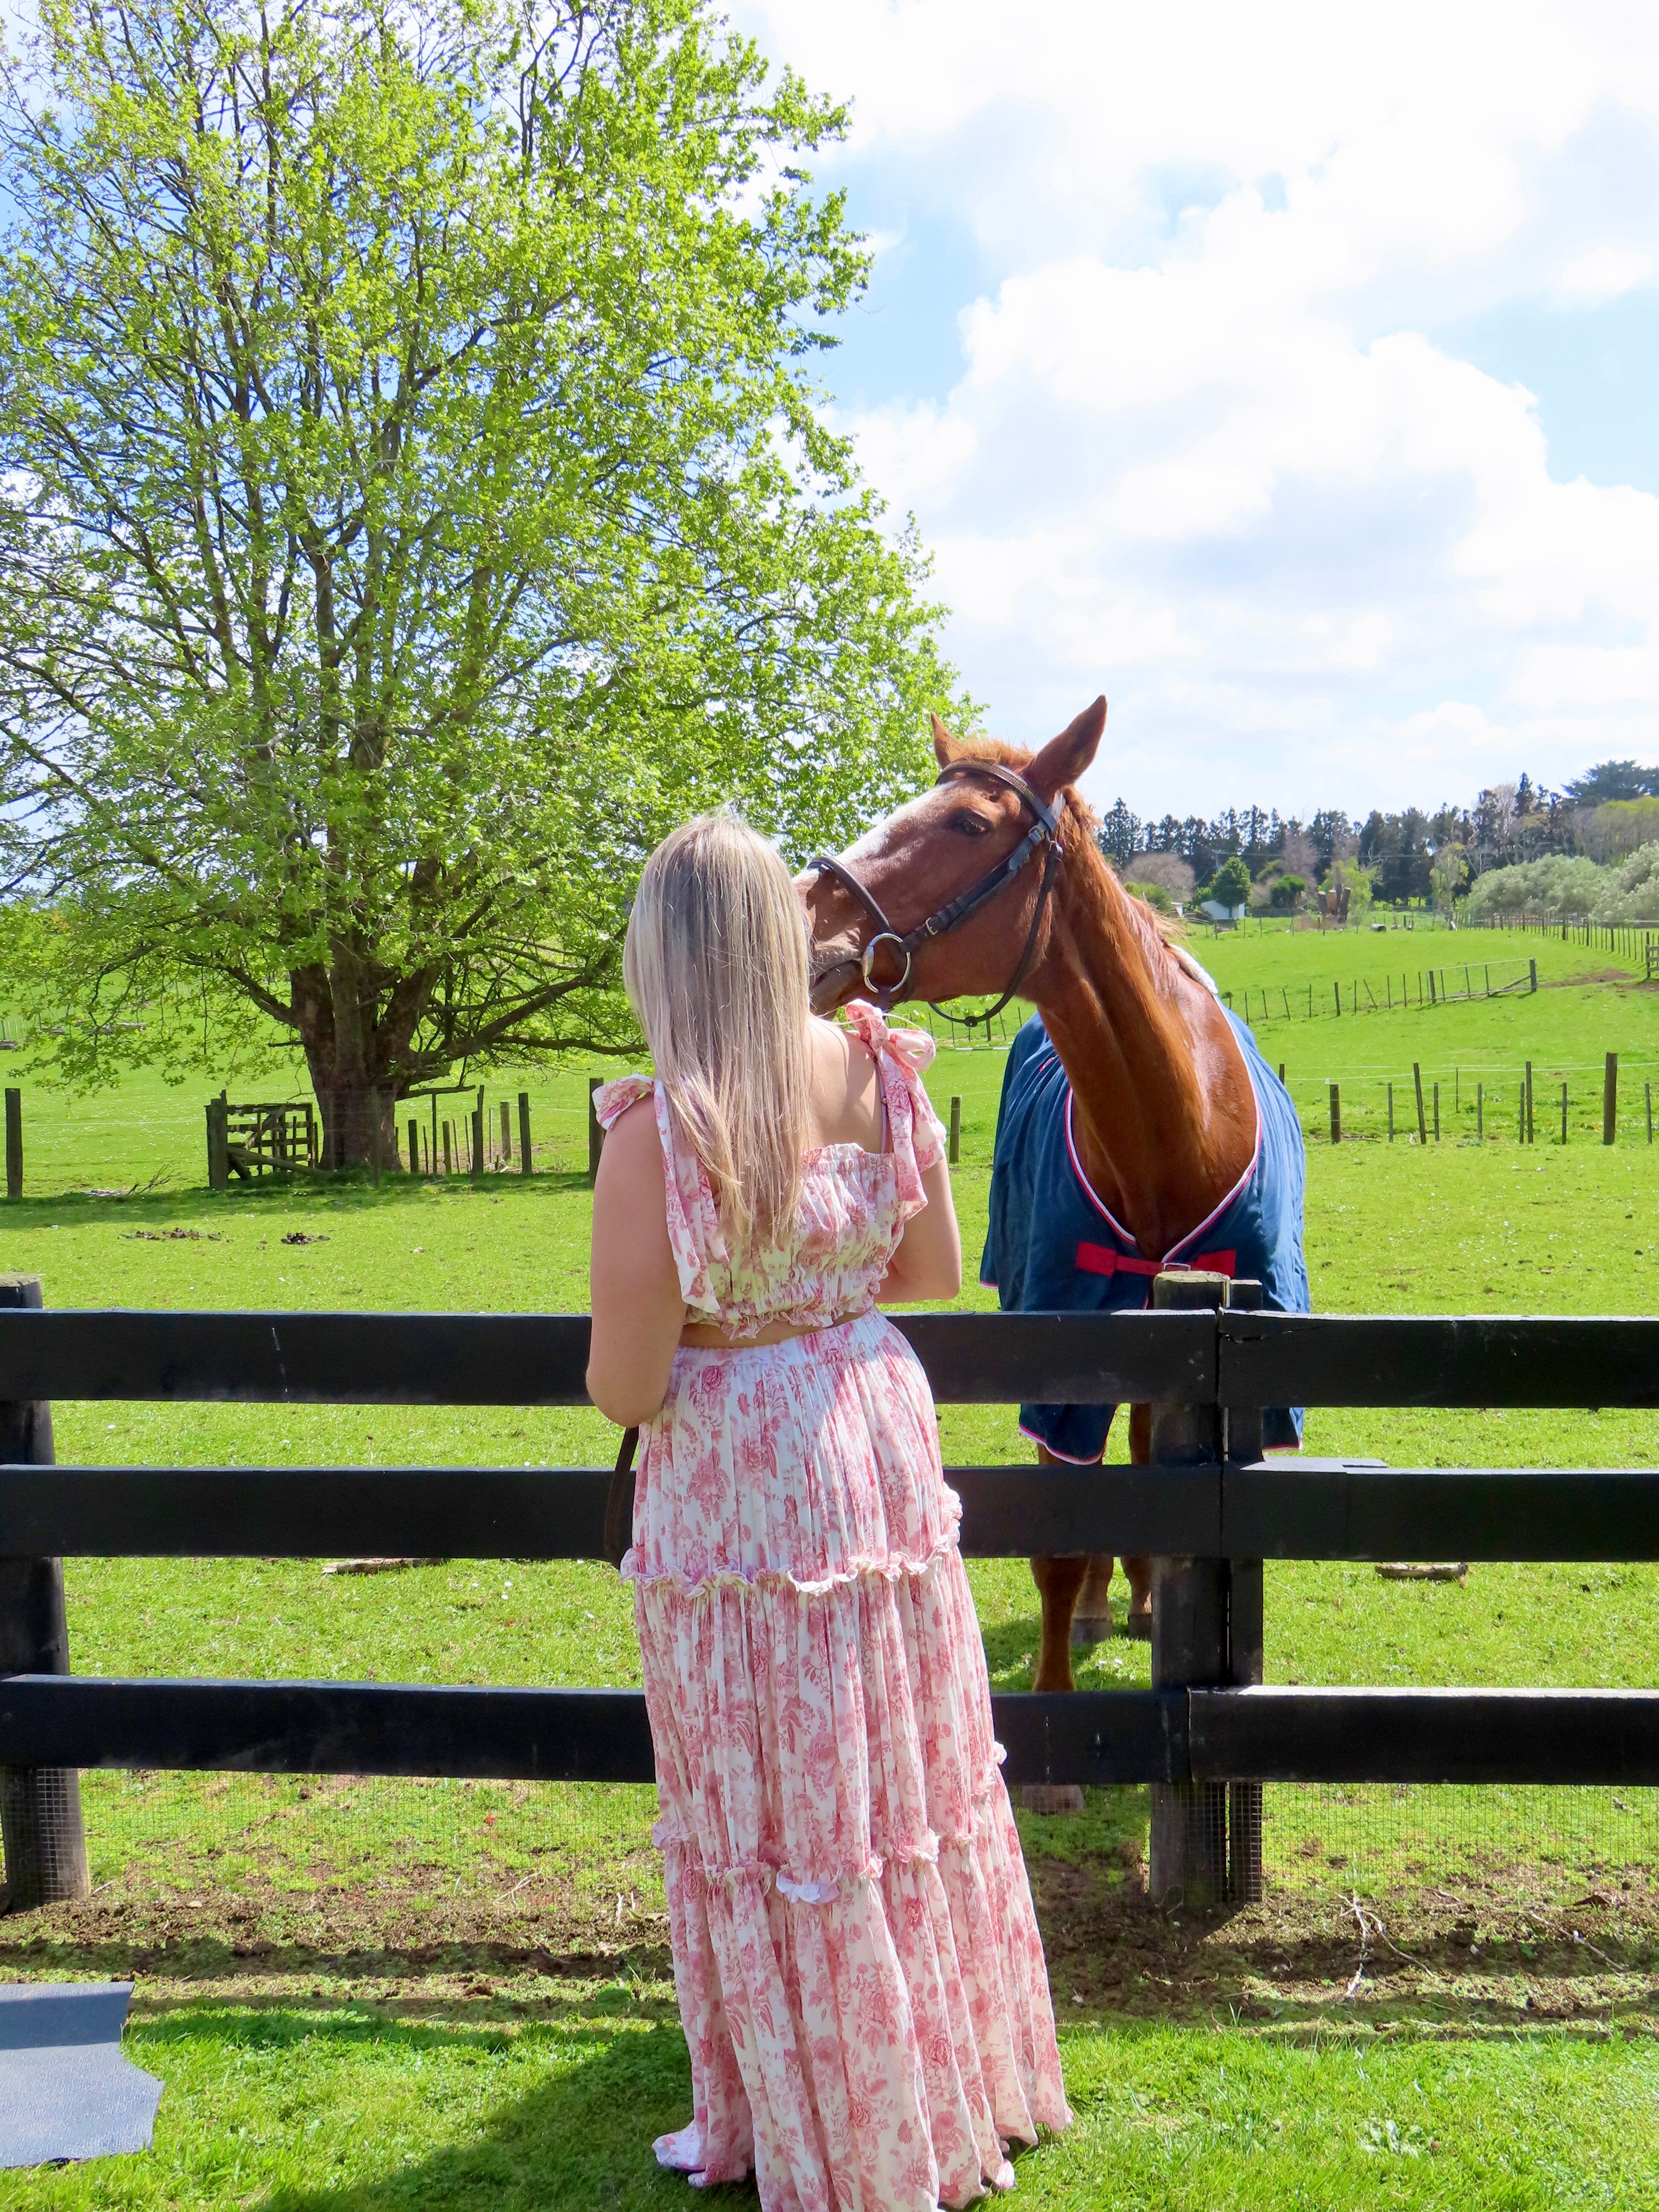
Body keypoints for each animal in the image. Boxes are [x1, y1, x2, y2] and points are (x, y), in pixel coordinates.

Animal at [805, 707, 1256, 1778]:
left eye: (969, 823)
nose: (801, 907)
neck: (1173, 1130)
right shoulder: (1064, 1339)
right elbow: (1059, 1536)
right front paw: (1059, 1726)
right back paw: (1102, 1604)